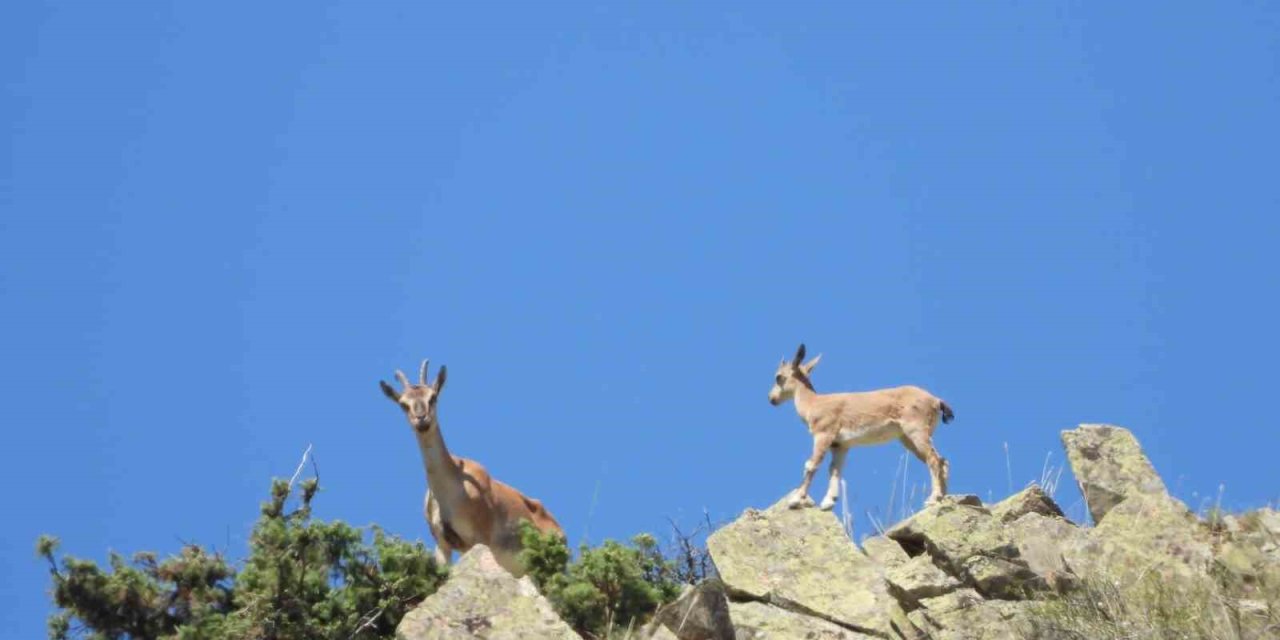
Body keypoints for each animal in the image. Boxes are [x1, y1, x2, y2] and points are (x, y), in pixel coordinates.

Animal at [376, 360, 563, 576]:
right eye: (403, 404)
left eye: (433, 397)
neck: (451, 487)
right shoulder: (443, 545)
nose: (421, 419)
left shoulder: (481, 538)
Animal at [762, 345, 957, 509]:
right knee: (942, 460)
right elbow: (834, 470)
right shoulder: (840, 445)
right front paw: (828, 502)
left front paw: (796, 500)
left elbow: (811, 464)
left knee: (933, 459)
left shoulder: (823, 435)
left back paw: (933, 498)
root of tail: (936, 401)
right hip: (907, 439)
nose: (772, 398)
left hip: (916, 431)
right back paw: (943, 497)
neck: (813, 404)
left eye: (779, 377)